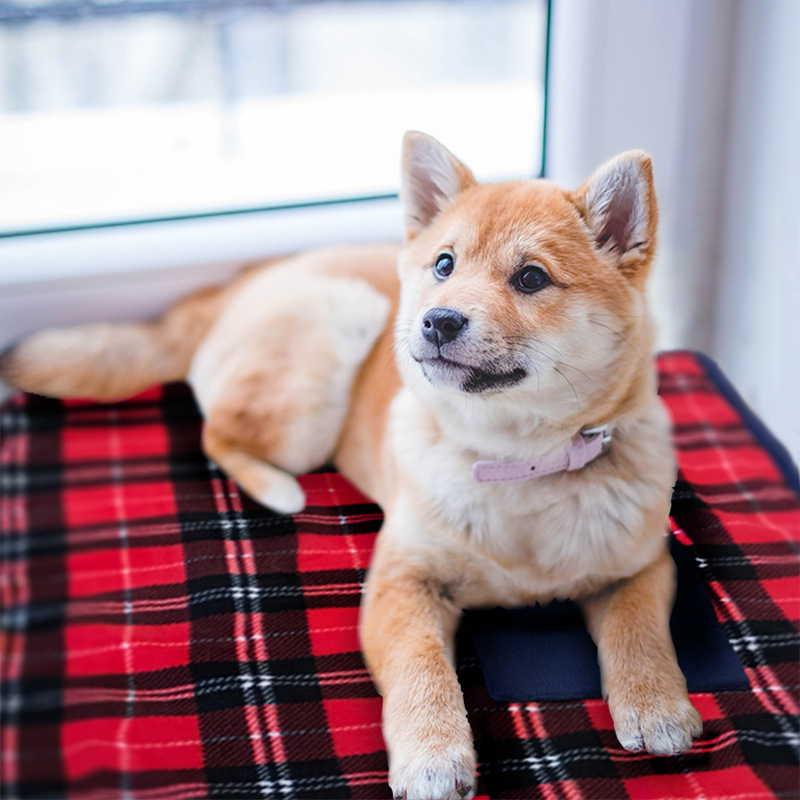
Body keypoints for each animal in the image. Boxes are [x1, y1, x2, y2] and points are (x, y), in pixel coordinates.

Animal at [0, 131, 702, 800]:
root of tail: (240, 285)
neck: (515, 465)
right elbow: (422, 669)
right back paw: (279, 488)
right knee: (217, 432)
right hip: (319, 370)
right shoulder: (402, 580)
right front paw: (432, 754)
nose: (438, 321)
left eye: (531, 278)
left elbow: (640, 632)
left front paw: (656, 704)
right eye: (444, 265)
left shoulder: (644, 565)